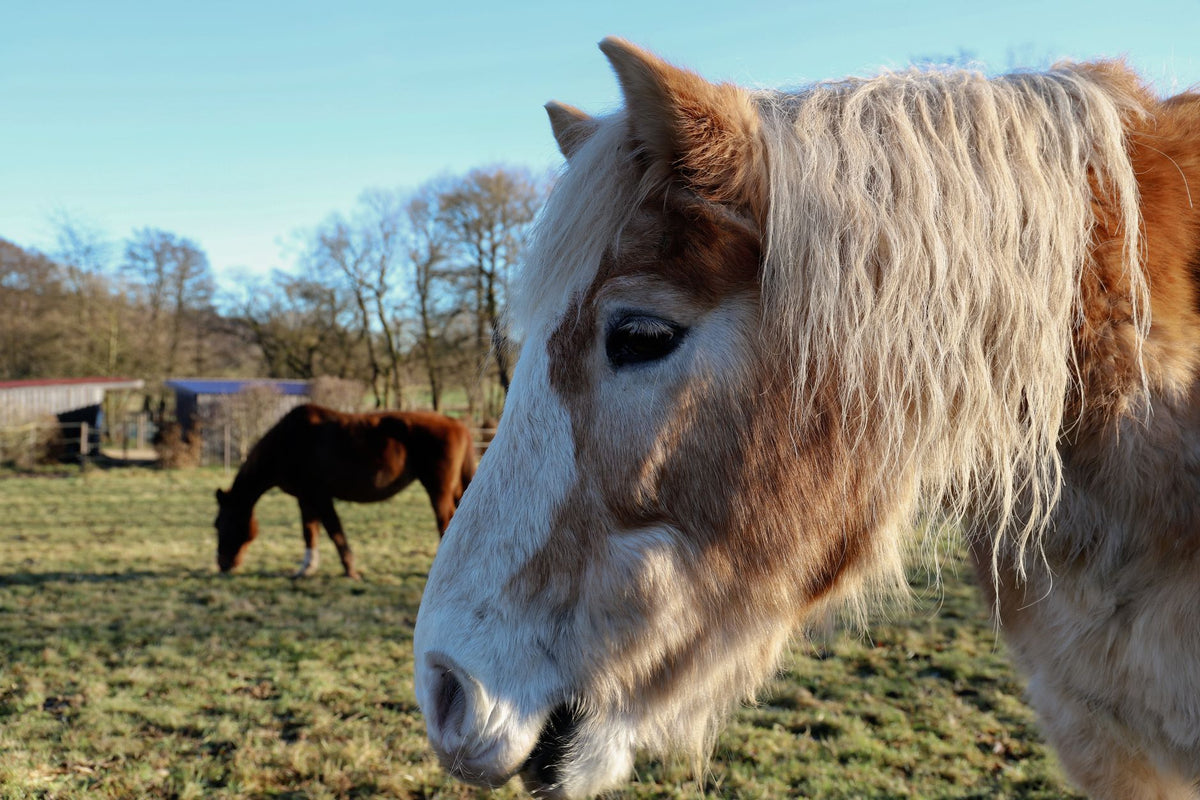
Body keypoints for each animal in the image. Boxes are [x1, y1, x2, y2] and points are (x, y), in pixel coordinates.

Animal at [214, 403, 475, 578]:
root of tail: (458, 424)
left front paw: (350, 569)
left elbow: (334, 532)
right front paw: (307, 568)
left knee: (446, 521)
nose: (222, 564)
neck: (287, 442)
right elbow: (310, 532)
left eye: (220, 524)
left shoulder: (320, 497)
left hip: (438, 491)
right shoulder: (305, 499)